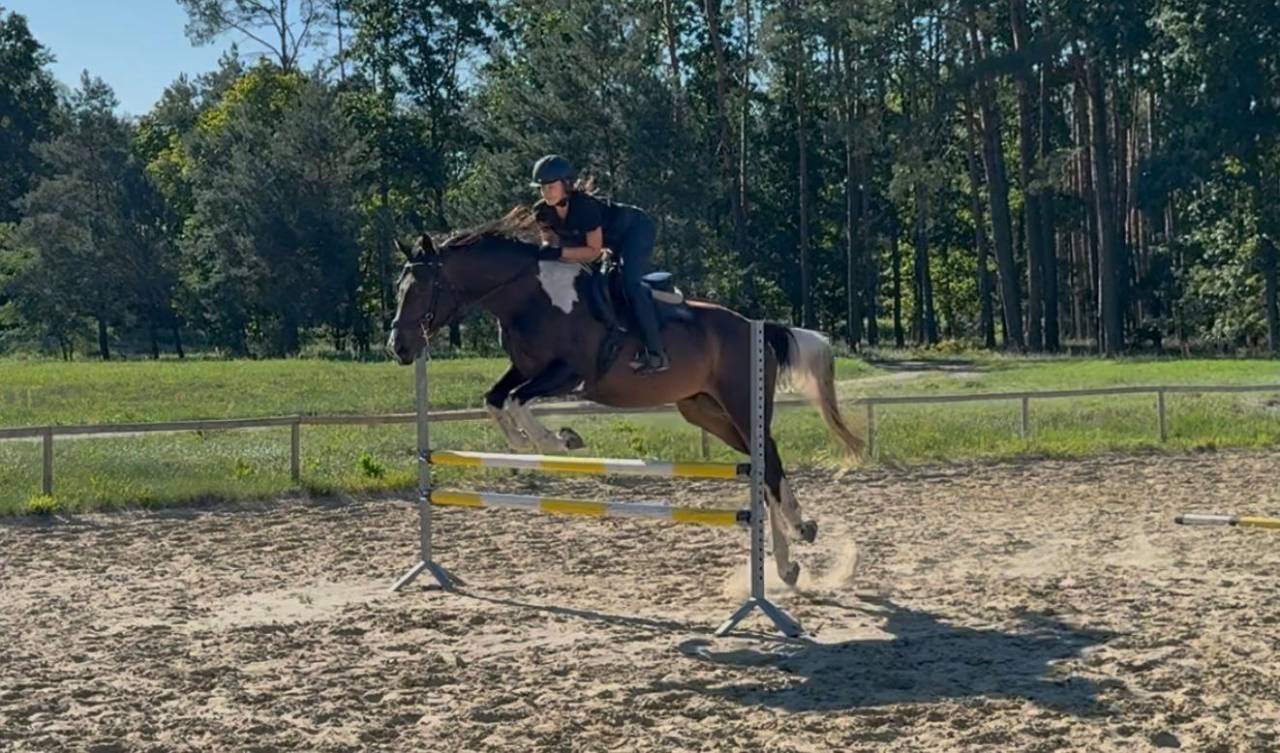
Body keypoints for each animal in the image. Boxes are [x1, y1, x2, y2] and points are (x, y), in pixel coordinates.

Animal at [386, 209, 864, 585]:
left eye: (420, 288)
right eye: (398, 288)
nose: (399, 348)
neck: (529, 296)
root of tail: (755, 327)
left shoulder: (570, 373)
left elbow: (519, 401)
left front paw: (560, 440)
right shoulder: (527, 369)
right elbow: (496, 399)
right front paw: (522, 443)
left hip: (742, 404)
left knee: (771, 461)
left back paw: (798, 535)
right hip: (705, 411)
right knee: (761, 465)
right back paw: (788, 562)